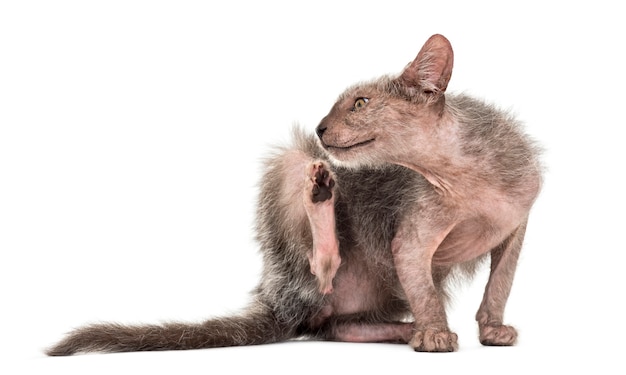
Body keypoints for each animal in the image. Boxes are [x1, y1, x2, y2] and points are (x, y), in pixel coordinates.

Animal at [46, 33, 540, 356]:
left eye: (360, 103)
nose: (320, 128)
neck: (466, 177)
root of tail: (281, 302)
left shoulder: (517, 227)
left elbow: (500, 285)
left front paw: (492, 330)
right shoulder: (411, 240)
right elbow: (425, 290)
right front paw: (435, 332)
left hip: (356, 308)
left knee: (337, 328)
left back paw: (402, 330)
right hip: (290, 166)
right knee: (321, 274)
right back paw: (321, 201)